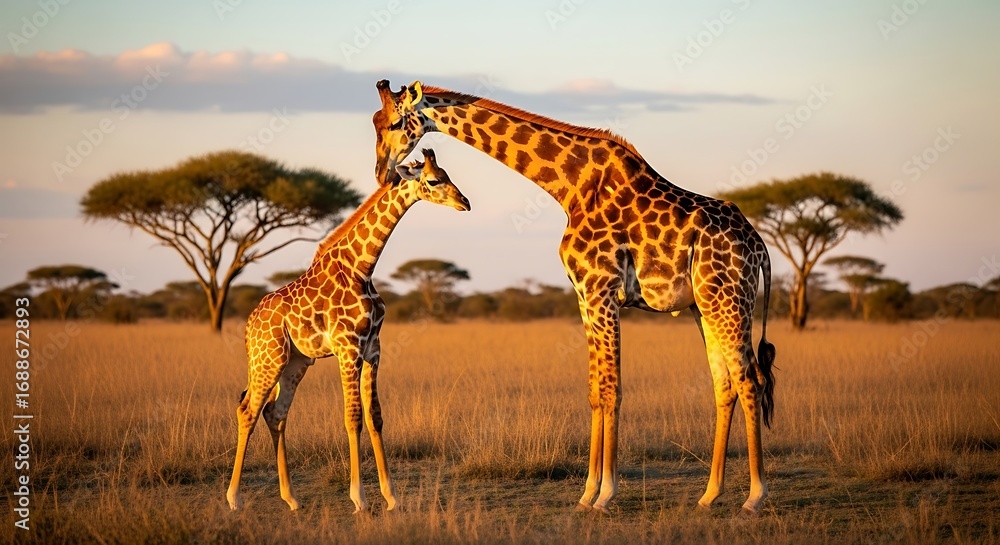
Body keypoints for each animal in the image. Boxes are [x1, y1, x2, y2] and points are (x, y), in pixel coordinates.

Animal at [226, 149, 470, 513]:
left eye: (447, 174)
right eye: (433, 180)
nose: (464, 202)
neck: (361, 268)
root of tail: (249, 325)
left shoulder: (373, 348)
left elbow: (375, 416)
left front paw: (391, 496)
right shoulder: (348, 347)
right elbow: (352, 416)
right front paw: (360, 498)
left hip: (296, 362)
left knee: (275, 413)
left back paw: (291, 498)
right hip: (268, 358)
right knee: (248, 410)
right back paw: (234, 498)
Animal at [371, 80, 777, 516]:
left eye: (394, 123)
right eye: (375, 122)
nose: (380, 173)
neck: (570, 186)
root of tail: (759, 245)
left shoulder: (602, 290)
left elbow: (612, 389)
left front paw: (607, 493)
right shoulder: (584, 295)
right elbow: (595, 390)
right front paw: (587, 493)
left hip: (730, 299)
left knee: (750, 380)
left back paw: (755, 496)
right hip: (705, 306)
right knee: (725, 384)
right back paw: (710, 493)